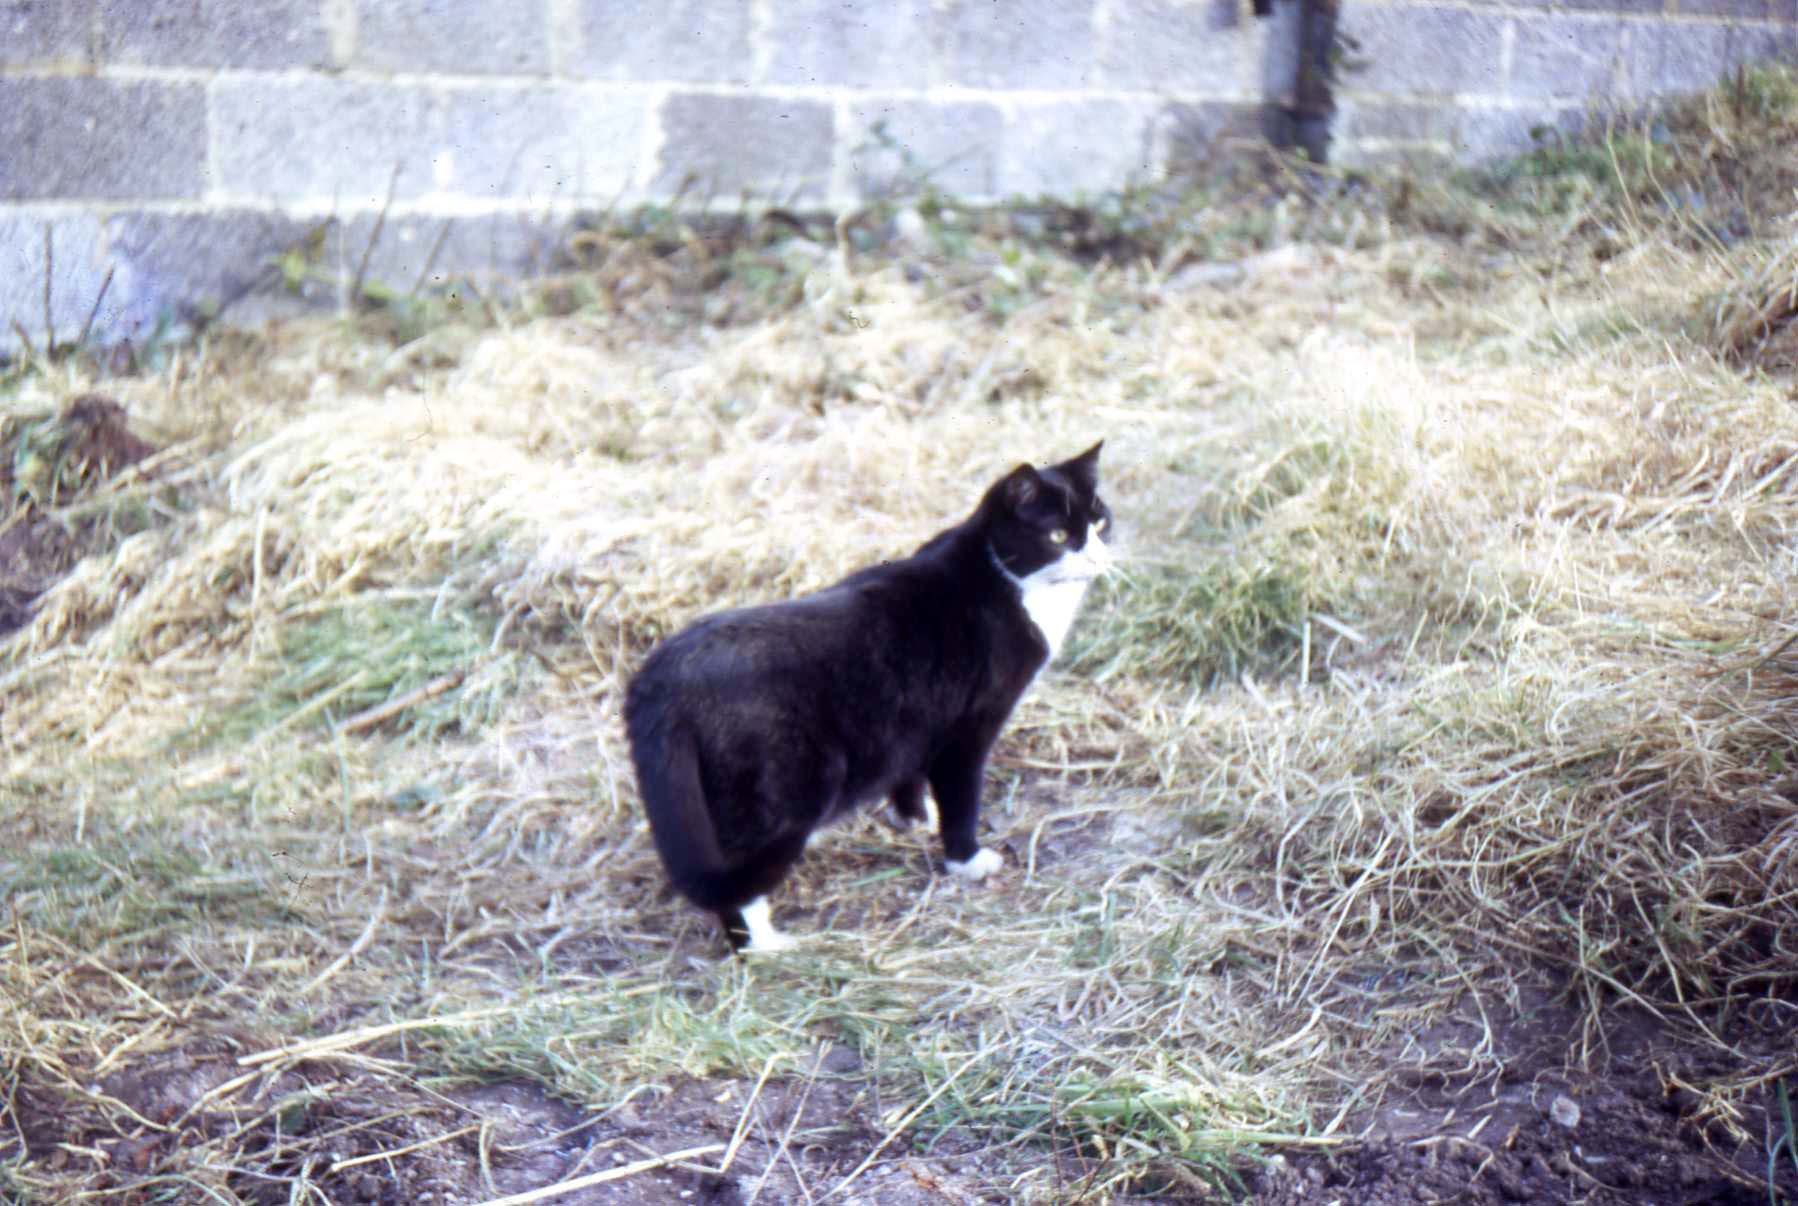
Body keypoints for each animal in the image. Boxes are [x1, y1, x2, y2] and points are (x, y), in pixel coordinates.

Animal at [624, 442, 1114, 952]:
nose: (1098, 558)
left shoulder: (915, 717)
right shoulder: (970, 727)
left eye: (1100, 522)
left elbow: (909, 772)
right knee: (738, 875)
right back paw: (765, 946)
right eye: (1058, 535)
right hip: (785, 784)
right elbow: (962, 797)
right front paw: (967, 860)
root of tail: (660, 678)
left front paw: (915, 818)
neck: (1006, 580)